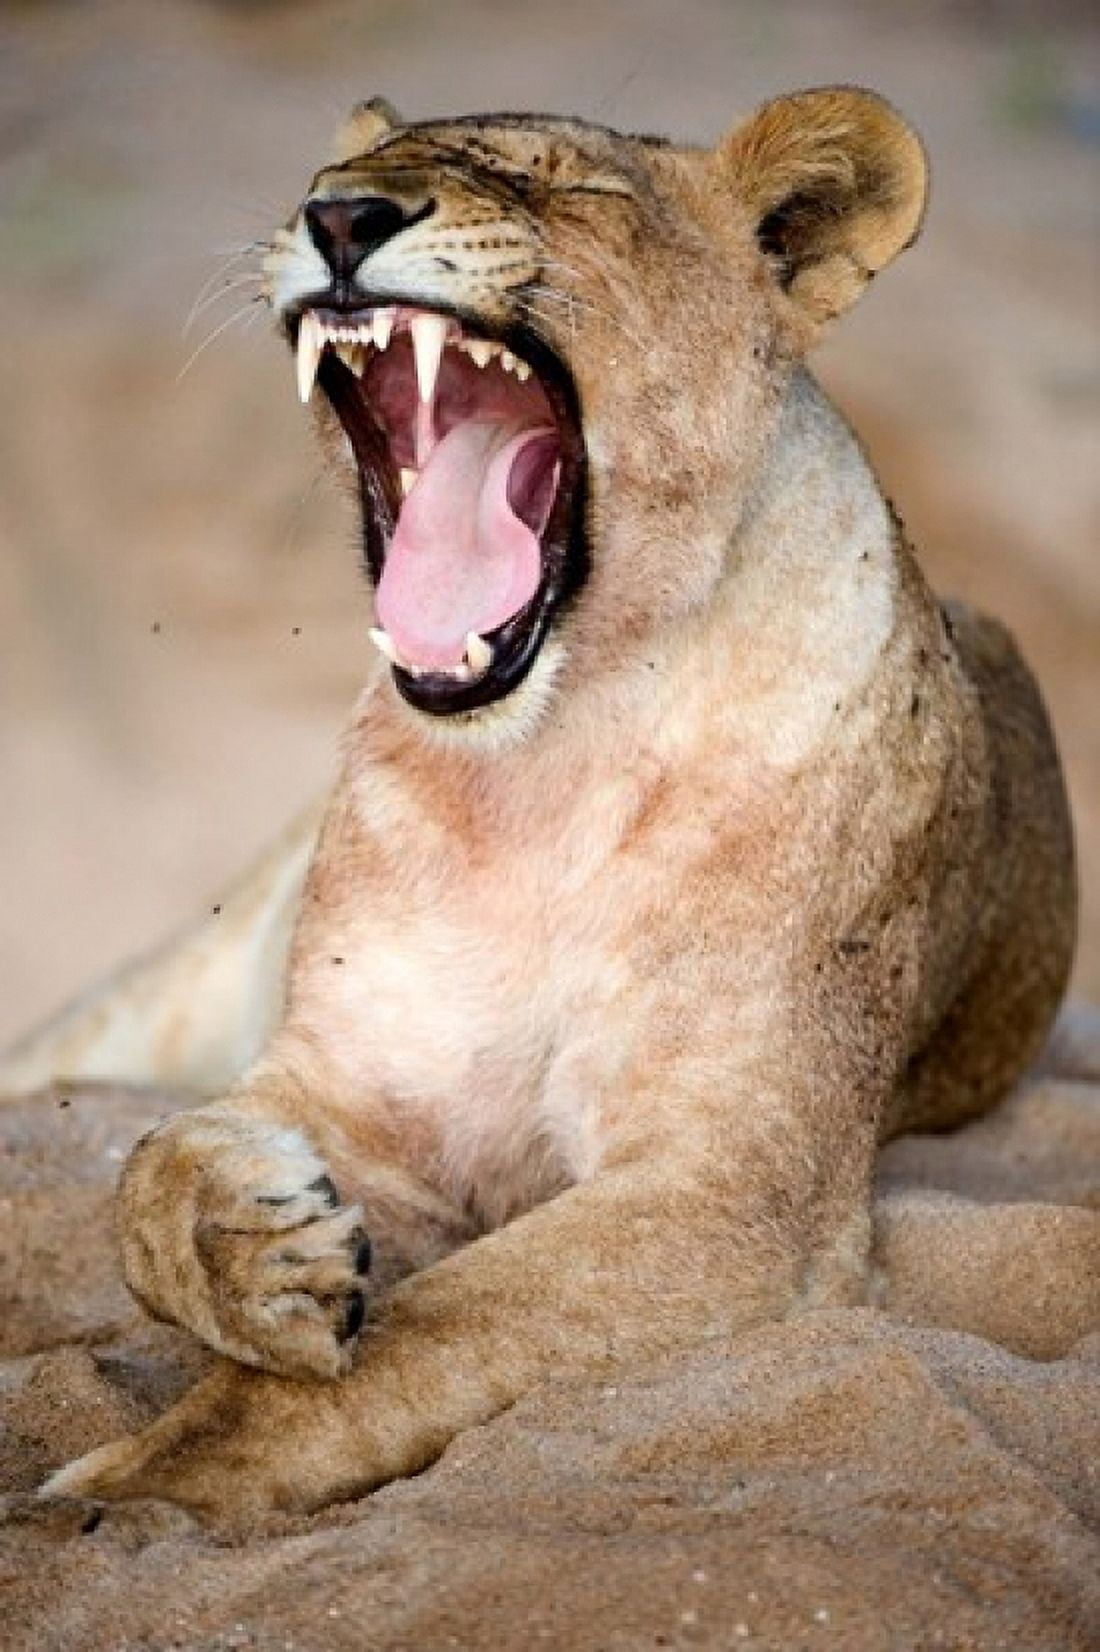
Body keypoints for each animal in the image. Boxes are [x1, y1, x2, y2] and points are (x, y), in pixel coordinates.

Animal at [16, 87, 1075, 1521]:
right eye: (334, 173)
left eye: (576, 191)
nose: (339, 218)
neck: (539, 768)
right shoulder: (346, 1077)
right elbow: (146, 1172)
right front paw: (260, 1248)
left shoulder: (731, 1191)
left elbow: (424, 1334)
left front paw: (132, 1491)